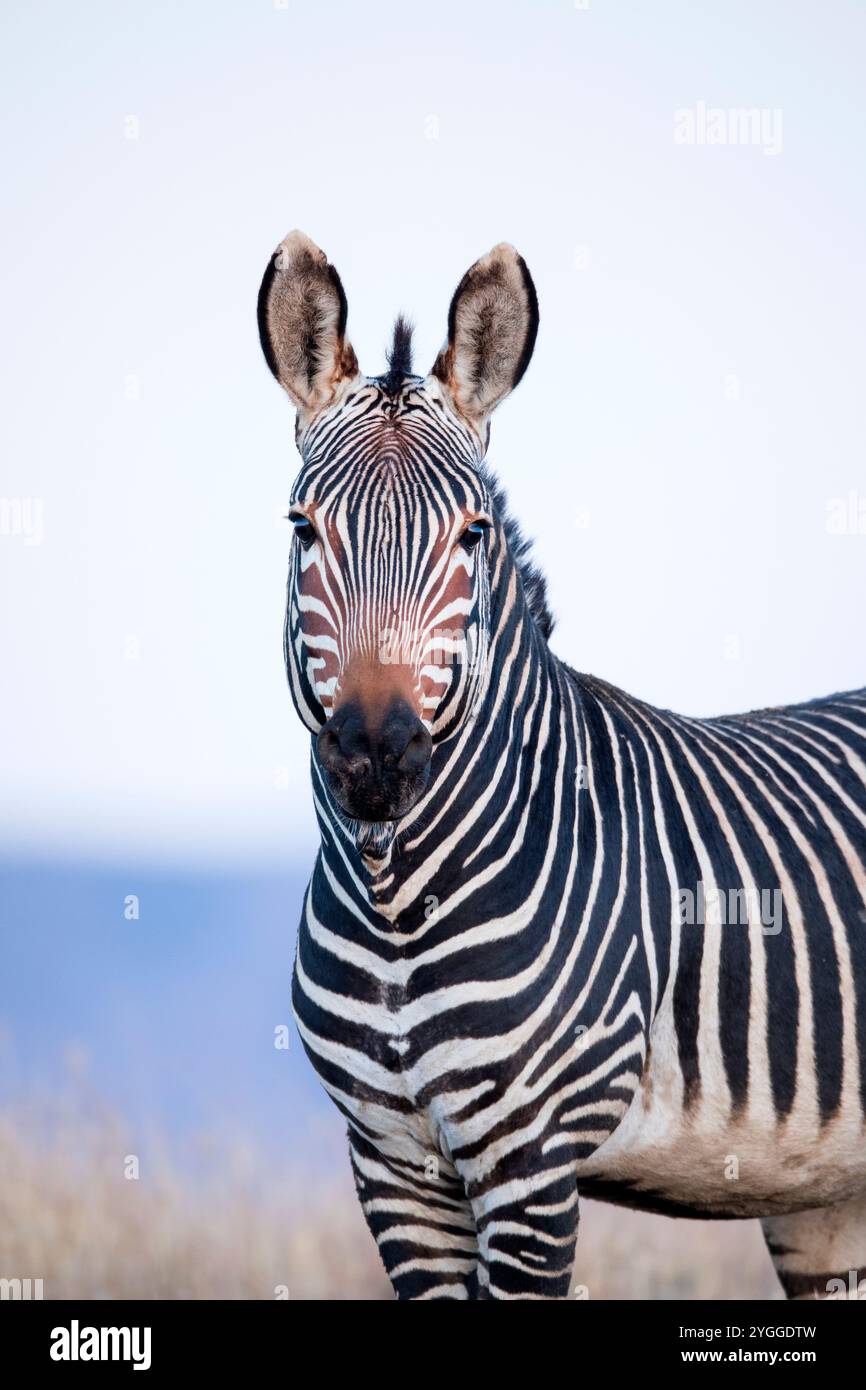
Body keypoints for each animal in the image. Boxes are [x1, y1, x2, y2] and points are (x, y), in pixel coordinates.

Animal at [257, 231, 866, 1301]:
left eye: (473, 535)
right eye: (303, 529)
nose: (376, 756)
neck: (395, 905)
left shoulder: (530, 1167)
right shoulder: (391, 1166)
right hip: (823, 1200)